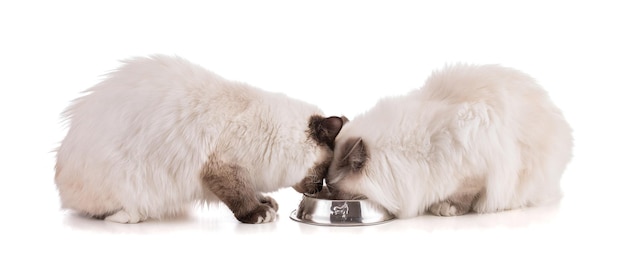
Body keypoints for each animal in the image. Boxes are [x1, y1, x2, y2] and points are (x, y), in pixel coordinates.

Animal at [54, 54, 344, 225]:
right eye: (323, 170)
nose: (319, 189)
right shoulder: (223, 167)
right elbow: (239, 195)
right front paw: (259, 213)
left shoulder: (241, 169)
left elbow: (250, 190)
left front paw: (265, 203)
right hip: (131, 179)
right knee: (107, 213)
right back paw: (129, 216)